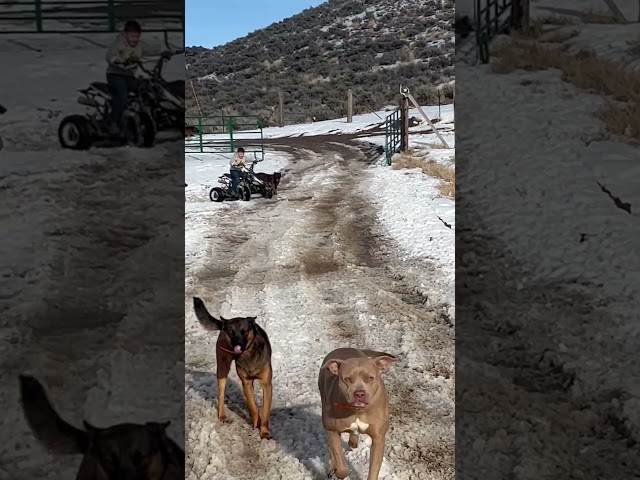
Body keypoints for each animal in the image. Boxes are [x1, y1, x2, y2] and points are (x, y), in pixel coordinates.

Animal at [191, 296, 274, 438]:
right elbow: (253, 407)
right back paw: (222, 415)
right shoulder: (246, 383)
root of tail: (223, 323)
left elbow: (265, 411)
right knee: (221, 393)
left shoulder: (266, 384)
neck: (248, 354)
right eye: (231, 333)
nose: (237, 345)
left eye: (244, 332)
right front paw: (256, 424)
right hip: (222, 367)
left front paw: (264, 432)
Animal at [318, 348, 398, 480]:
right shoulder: (332, 429)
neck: (357, 410)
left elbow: (374, 468)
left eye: (370, 378)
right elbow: (340, 462)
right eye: (347, 379)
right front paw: (340, 472)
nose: (359, 393)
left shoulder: (378, 438)